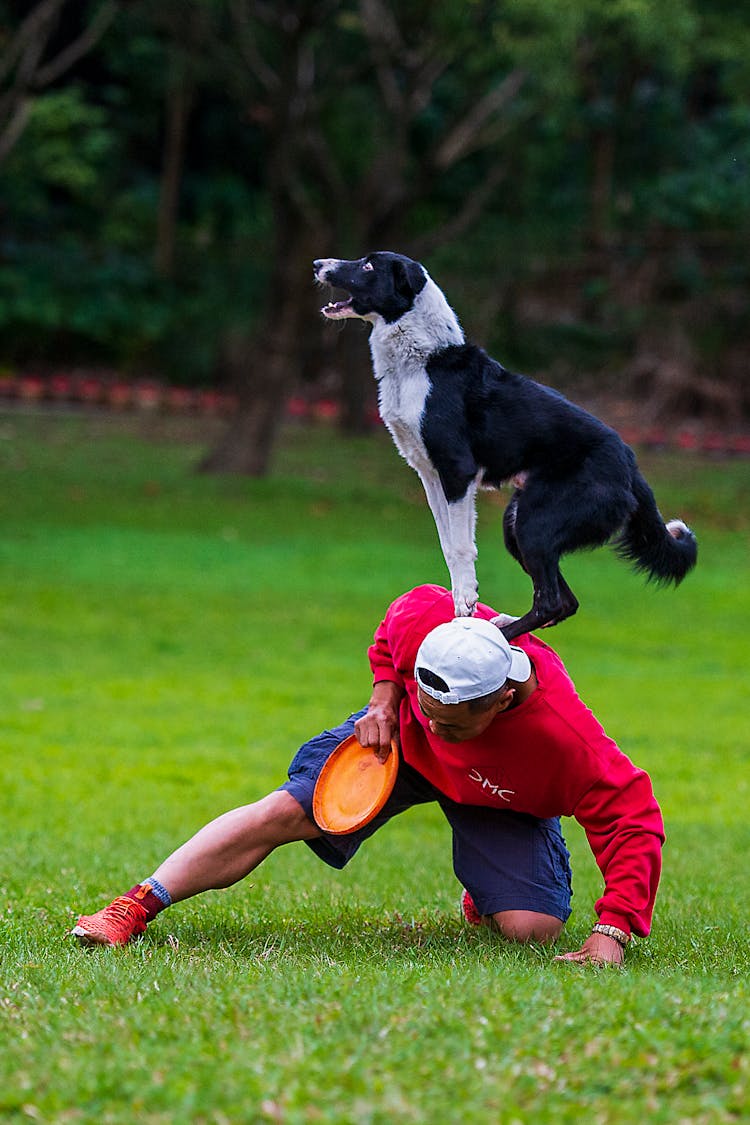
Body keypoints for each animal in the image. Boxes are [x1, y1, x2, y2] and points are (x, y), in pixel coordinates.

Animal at [312, 255, 697, 643]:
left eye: (368, 267)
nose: (317, 264)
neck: (423, 359)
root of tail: (630, 464)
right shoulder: (430, 476)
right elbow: (448, 544)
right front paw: (461, 599)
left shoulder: (458, 472)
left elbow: (462, 547)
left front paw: (465, 604)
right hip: (518, 523)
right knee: (565, 601)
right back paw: (505, 624)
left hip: (534, 525)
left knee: (551, 602)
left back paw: (502, 635)